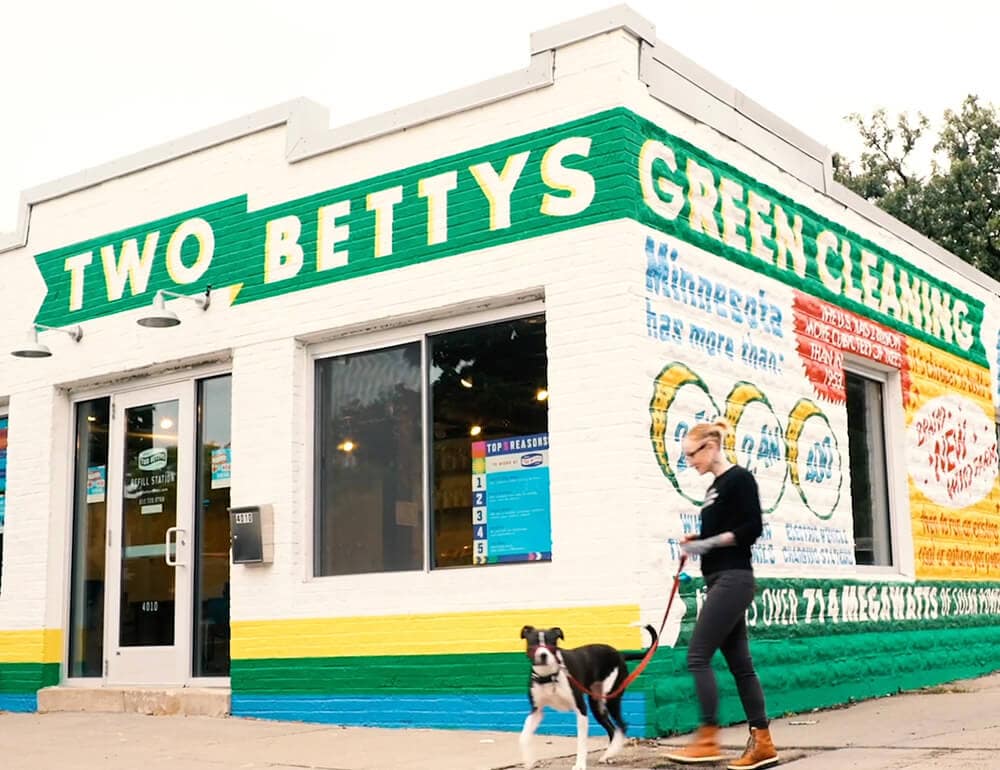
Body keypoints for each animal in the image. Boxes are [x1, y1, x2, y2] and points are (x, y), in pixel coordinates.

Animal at [524, 624, 656, 768]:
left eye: (552, 643)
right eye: (533, 643)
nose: (543, 655)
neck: (549, 677)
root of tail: (619, 654)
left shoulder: (581, 710)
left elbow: (581, 742)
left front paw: (580, 765)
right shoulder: (536, 711)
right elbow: (524, 736)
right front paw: (528, 761)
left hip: (611, 698)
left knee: (622, 726)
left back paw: (611, 752)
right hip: (596, 704)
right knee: (612, 729)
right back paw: (608, 755)